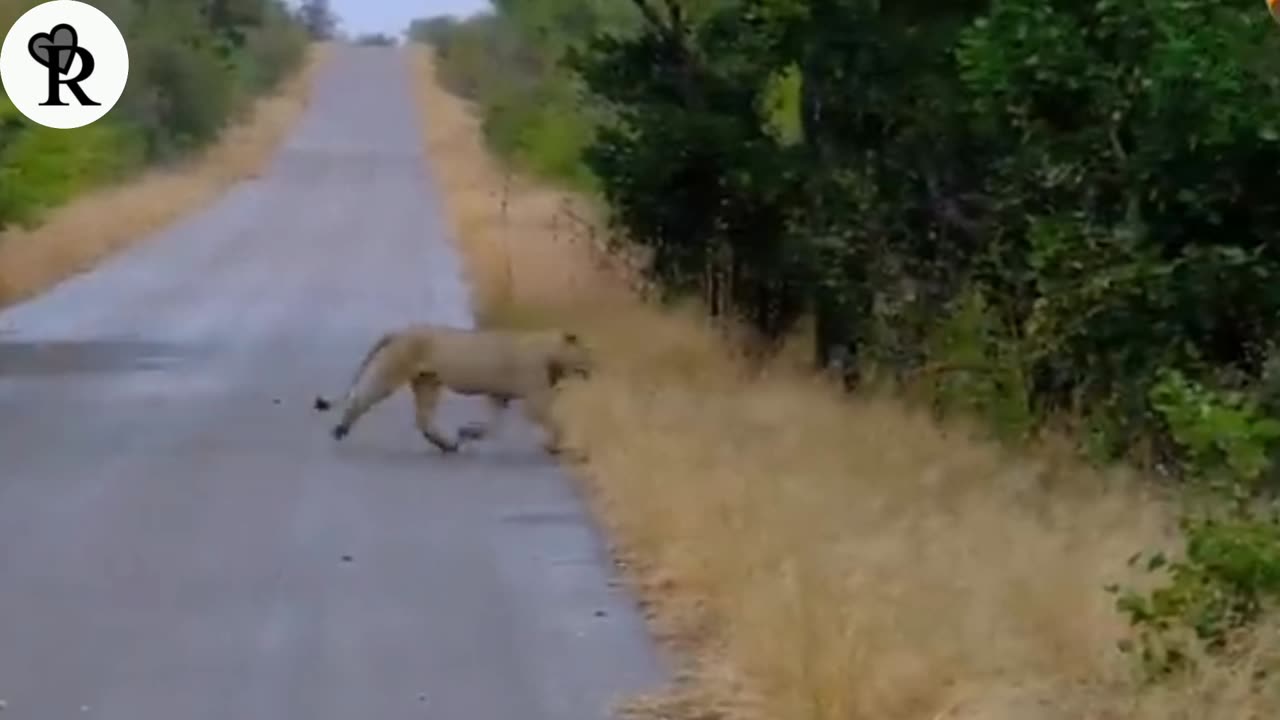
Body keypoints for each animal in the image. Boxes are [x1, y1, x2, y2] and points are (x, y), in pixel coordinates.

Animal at [312, 322, 591, 450]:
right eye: (587, 354)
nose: (595, 366)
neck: (551, 353)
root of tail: (399, 331)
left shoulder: (498, 396)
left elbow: (493, 426)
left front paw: (469, 433)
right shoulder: (534, 398)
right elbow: (554, 422)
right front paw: (558, 446)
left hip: (428, 382)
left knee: (423, 419)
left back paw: (447, 445)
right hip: (393, 370)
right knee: (362, 397)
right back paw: (341, 429)